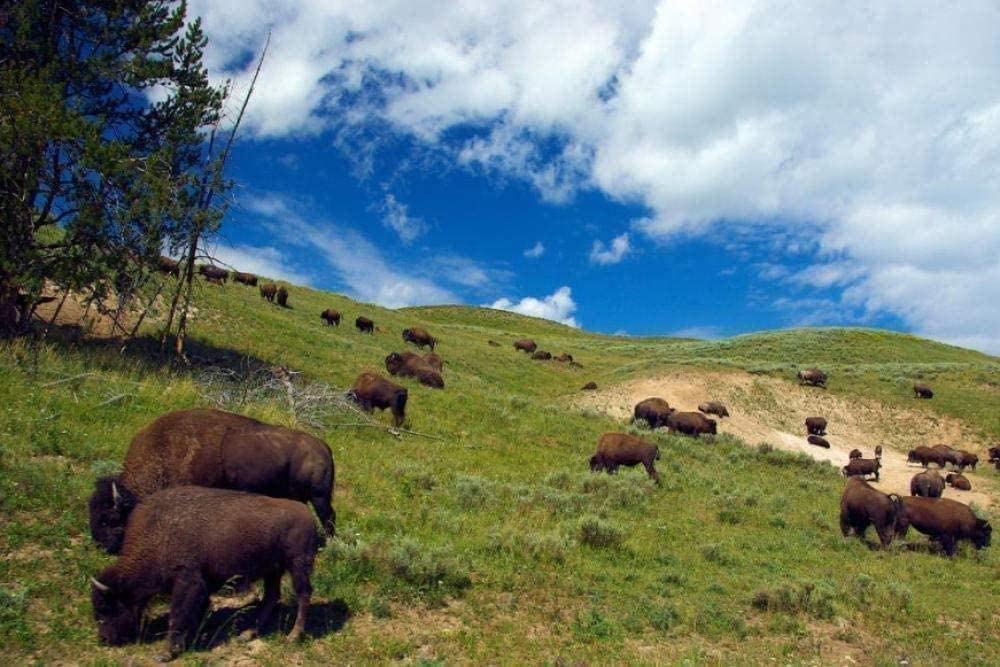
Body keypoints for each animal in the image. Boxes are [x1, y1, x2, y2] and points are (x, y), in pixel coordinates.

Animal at [88, 409, 335, 554]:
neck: (167, 451)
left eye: (108, 518)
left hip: (319, 496)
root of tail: (323, 446)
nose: (100, 545)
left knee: (328, 517)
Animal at [91, 487, 318, 659]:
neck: (158, 533)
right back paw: (247, 634)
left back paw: (293, 636)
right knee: (271, 597)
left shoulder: (187, 581)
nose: (104, 639)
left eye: (107, 607)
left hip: (297, 565)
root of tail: (307, 514)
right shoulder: (201, 585)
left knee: (303, 595)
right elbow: (196, 611)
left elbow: (177, 615)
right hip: (272, 570)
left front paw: (166, 653)